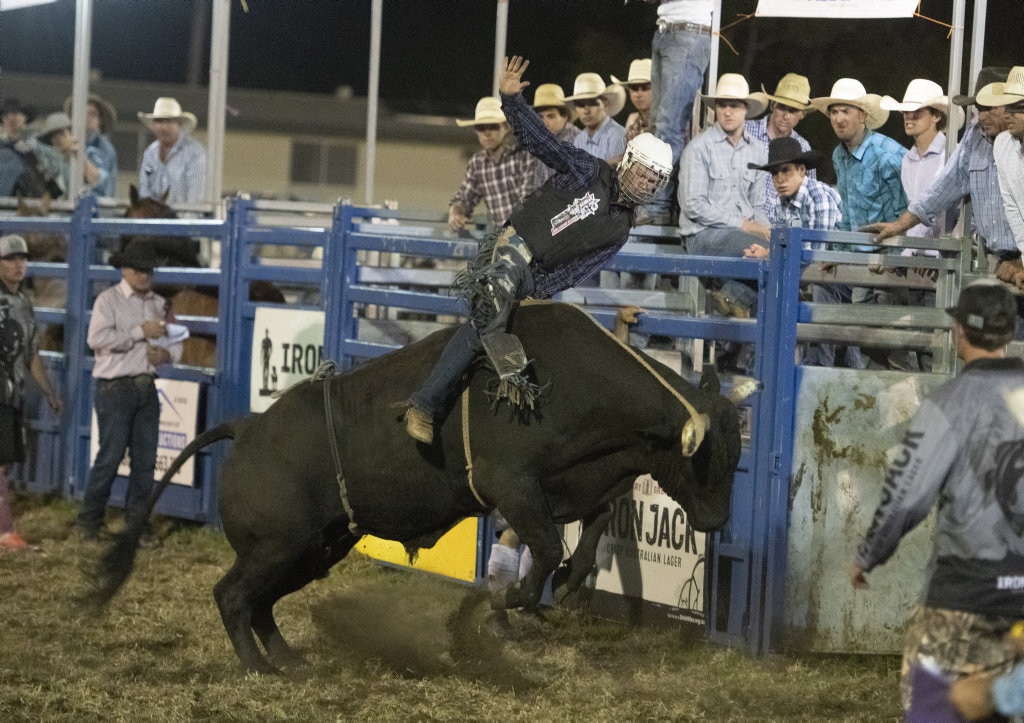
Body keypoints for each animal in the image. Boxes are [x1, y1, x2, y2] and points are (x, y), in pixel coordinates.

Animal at [86, 299, 745, 671]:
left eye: (738, 453)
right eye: (707, 458)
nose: (716, 521)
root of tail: (247, 427)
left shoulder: (578, 483)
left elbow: (590, 528)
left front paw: (556, 585)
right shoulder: (513, 487)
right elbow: (543, 548)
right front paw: (504, 601)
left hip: (315, 549)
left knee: (260, 601)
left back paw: (289, 660)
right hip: (279, 544)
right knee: (232, 595)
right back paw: (257, 667)